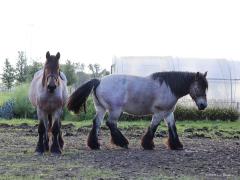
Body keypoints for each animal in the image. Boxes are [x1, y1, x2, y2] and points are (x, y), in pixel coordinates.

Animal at [66, 71, 207, 150]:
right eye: (199, 86)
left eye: (205, 87)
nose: (203, 105)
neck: (169, 87)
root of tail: (99, 81)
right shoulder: (159, 112)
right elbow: (153, 127)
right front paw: (147, 145)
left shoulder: (168, 112)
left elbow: (173, 128)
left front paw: (176, 145)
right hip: (115, 110)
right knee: (110, 123)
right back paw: (123, 143)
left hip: (101, 109)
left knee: (97, 123)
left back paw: (94, 145)